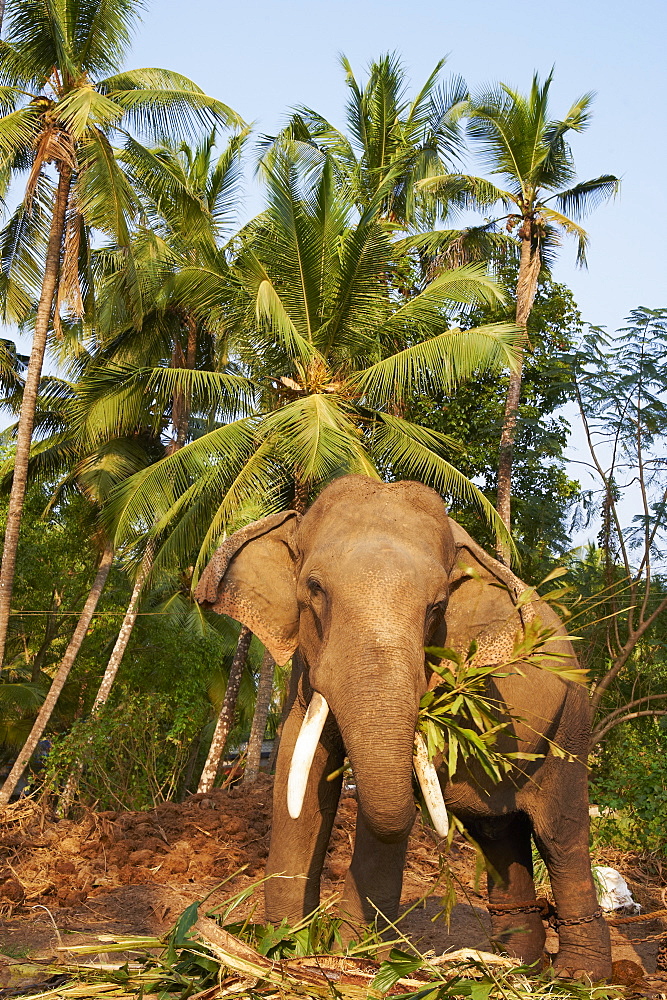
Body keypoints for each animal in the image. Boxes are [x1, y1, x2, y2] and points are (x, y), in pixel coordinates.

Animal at [196, 474, 612, 976]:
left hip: (571, 724)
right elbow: (301, 770)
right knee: (499, 835)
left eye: (437, 607)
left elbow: (396, 799)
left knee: (560, 836)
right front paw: (282, 948)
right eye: (314, 589)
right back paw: (514, 969)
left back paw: (580, 976)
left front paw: (351, 962)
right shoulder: (303, 666)